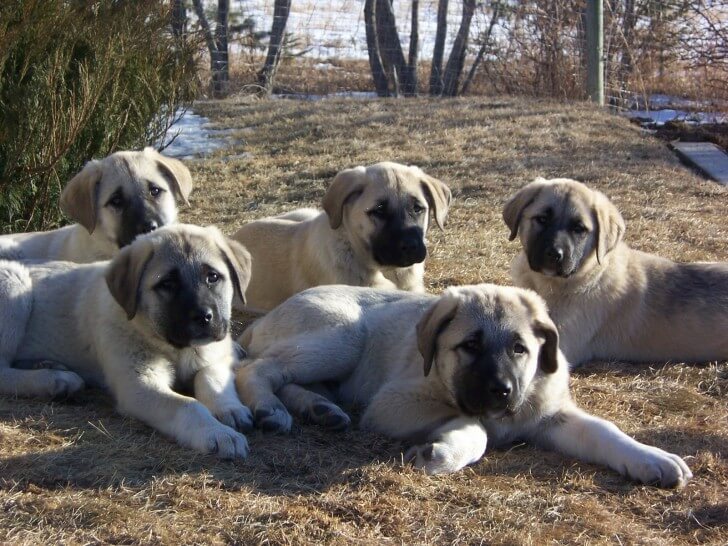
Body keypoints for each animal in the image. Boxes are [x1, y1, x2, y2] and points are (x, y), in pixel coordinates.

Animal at [0, 223, 253, 456]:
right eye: (167, 284)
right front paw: (216, 432)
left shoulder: (214, 356)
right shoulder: (137, 385)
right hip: (14, 285)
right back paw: (55, 380)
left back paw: (48, 365)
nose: (203, 317)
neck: (175, 348)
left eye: (213, 277)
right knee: (2, 372)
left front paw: (229, 408)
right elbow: (188, 405)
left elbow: (212, 379)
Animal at [236, 280, 692, 484]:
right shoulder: (393, 402)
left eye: (520, 349)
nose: (502, 391)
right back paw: (270, 409)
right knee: (257, 369)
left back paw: (321, 409)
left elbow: (603, 430)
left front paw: (651, 457)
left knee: (288, 377)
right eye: (470, 346)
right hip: (344, 334)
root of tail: (264, 317)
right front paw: (444, 452)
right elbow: (477, 427)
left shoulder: (553, 417)